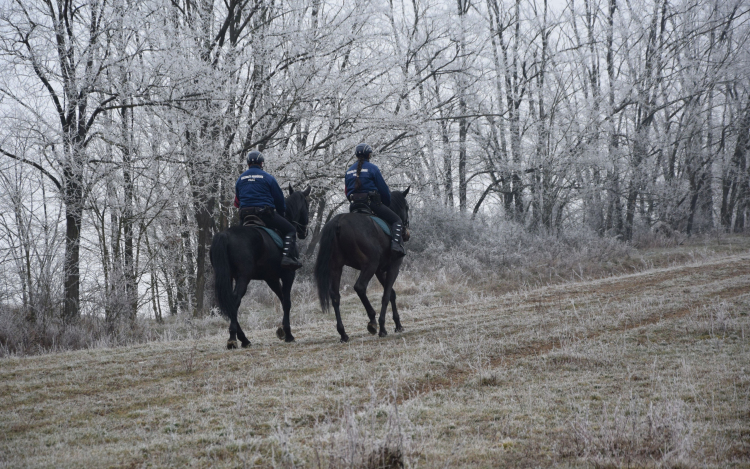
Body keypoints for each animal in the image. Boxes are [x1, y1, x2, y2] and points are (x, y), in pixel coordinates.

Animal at [209, 183, 312, 348]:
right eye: (307, 204)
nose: (303, 232)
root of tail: (225, 234)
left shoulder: (271, 278)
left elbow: (282, 298)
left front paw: (282, 330)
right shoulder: (288, 274)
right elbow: (287, 302)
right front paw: (288, 334)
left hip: (228, 276)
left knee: (230, 302)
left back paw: (244, 339)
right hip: (243, 277)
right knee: (235, 301)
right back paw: (233, 339)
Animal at [316, 188, 414, 342]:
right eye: (407, 207)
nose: (406, 233)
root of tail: (338, 222)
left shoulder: (380, 270)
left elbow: (391, 294)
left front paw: (398, 324)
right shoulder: (393, 267)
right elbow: (386, 295)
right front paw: (384, 326)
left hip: (336, 267)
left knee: (335, 295)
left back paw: (343, 333)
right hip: (369, 265)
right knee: (360, 287)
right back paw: (373, 321)